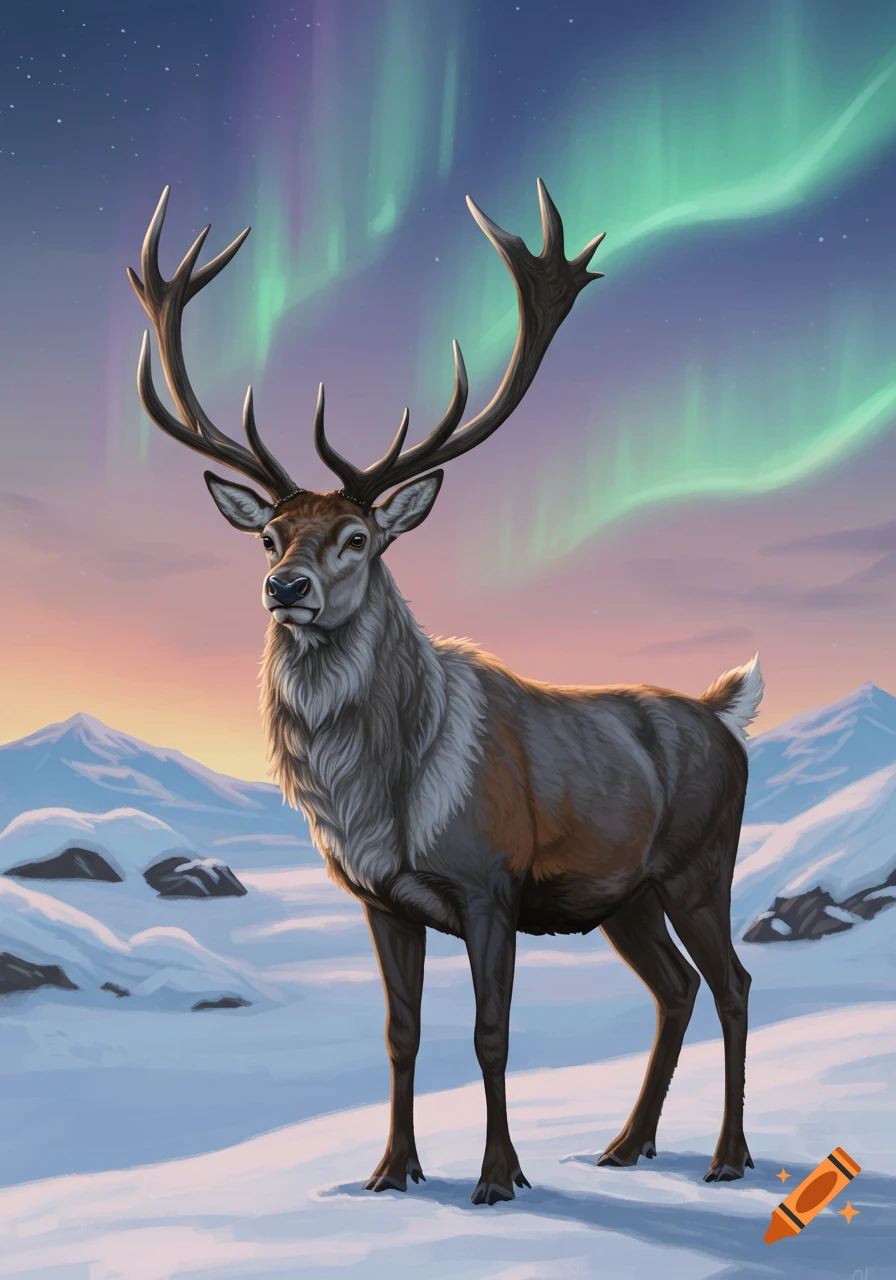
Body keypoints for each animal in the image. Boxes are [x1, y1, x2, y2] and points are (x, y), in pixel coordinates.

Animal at [129, 180, 763, 1205]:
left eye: (357, 538)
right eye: (269, 536)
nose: (285, 589)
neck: (384, 800)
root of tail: (721, 714)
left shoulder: (490, 886)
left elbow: (490, 1034)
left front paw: (498, 1178)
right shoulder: (383, 901)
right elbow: (402, 1036)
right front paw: (392, 1171)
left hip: (700, 863)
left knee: (734, 983)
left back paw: (728, 1155)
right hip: (625, 894)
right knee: (676, 987)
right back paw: (626, 1144)